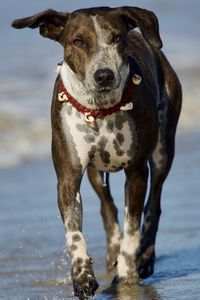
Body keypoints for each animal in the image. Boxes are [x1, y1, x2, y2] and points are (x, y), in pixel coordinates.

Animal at [11, 5, 182, 298]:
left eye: (116, 38)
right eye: (78, 41)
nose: (104, 75)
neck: (100, 110)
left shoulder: (137, 171)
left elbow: (132, 229)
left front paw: (126, 275)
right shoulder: (68, 175)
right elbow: (74, 233)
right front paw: (82, 276)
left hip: (163, 148)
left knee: (154, 203)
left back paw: (145, 258)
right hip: (95, 172)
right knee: (106, 206)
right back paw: (112, 250)